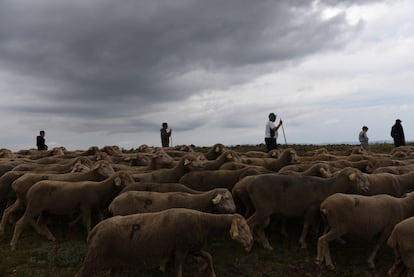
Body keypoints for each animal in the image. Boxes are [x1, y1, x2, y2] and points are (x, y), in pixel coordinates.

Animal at [76, 208, 254, 274]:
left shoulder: (192, 248)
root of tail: (93, 231)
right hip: (94, 260)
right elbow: (179, 271)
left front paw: (212, 274)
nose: (251, 243)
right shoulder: (180, 250)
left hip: (115, 263)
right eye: (242, 227)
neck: (204, 223)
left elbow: (209, 257)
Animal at [231, 167, 370, 249]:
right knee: (250, 223)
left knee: (256, 225)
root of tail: (250, 185)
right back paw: (254, 243)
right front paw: (302, 242)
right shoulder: (311, 208)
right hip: (263, 209)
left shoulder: (318, 211)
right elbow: (306, 224)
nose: (367, 187)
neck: (328, 187)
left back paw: (261, 242)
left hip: (261, 209)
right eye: (358, 177)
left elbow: (317, 224)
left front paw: (315, 234)